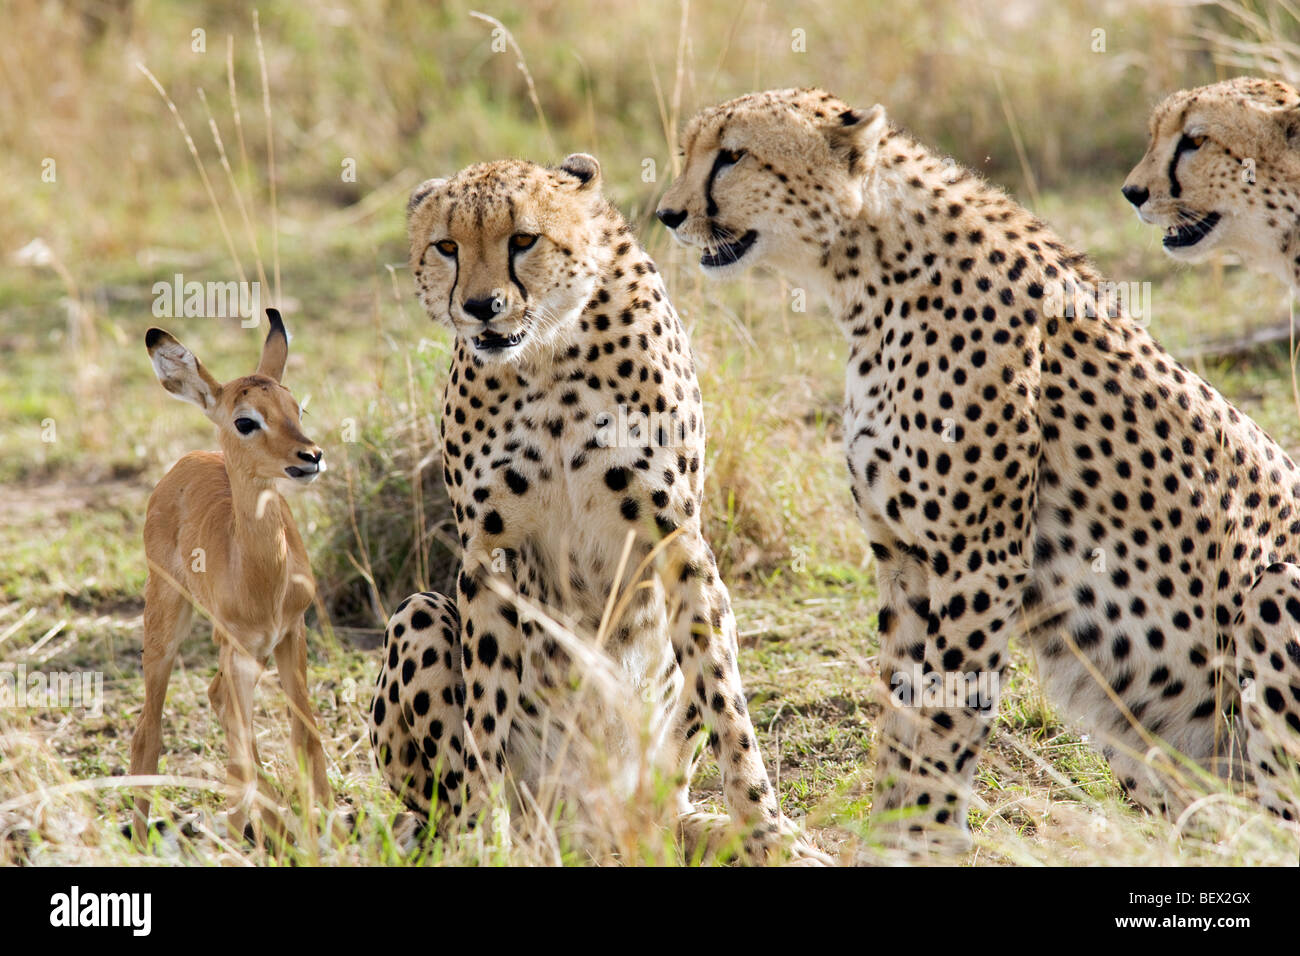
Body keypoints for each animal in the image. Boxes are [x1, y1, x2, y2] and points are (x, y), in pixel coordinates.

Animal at [366, 153, 811, 863]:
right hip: (419, 614)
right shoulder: (486, 555)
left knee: (673, 798)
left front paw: (767, 829)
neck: (547, 353)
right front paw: (487, 837)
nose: (481, 308)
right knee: (441, 803)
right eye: (447, 247)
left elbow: (726, 704)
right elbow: (483, 716)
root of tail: (592, 826)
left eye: (523, 239)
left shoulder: (678, 540)